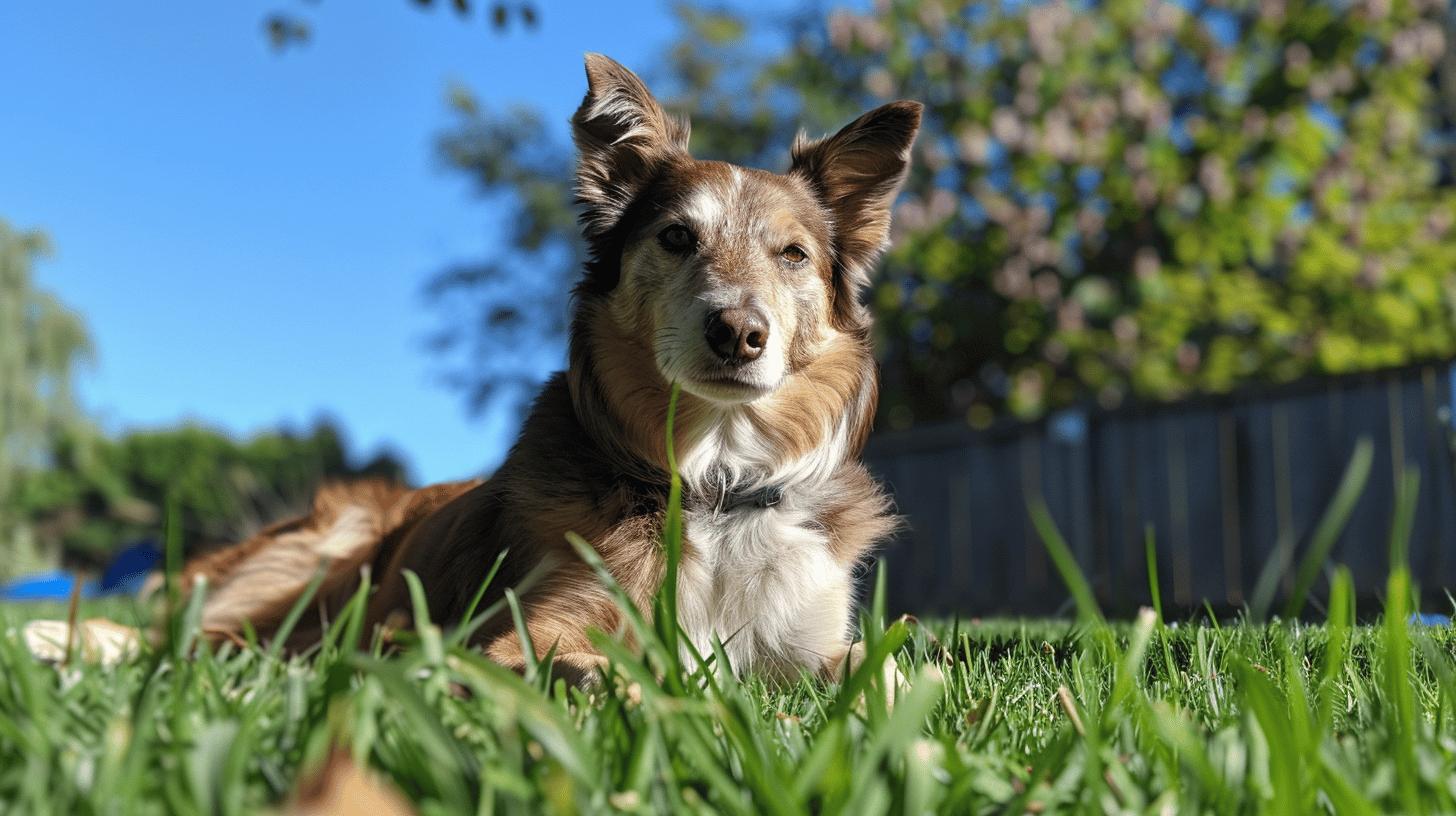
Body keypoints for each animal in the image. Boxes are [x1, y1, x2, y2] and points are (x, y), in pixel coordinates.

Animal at [179, 54, 920, 684]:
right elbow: (589, 665)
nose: (738, 334)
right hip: (331, 544)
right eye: (677, 236)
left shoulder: (811, 637)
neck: (715, 482)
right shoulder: (531, 626)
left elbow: (888, 669)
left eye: (792, 255)